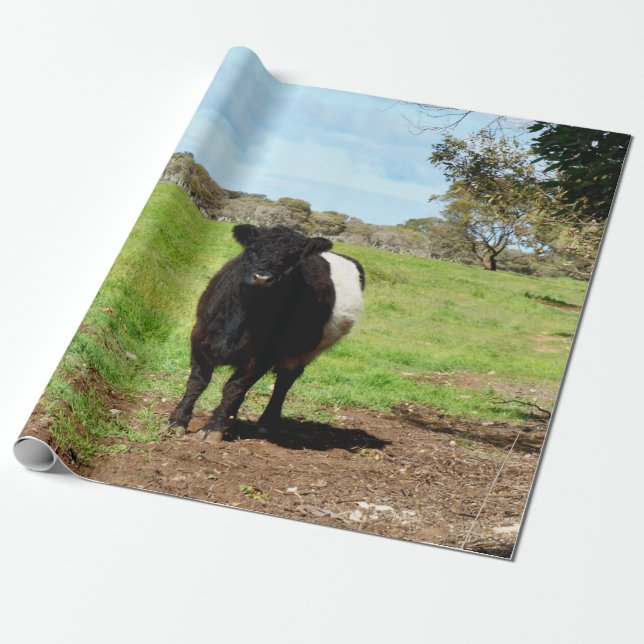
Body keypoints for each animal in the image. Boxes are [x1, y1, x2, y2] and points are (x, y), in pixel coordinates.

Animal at [169, 224, 365, 444]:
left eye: (293, 258)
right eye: (252, 249)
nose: (262, 278)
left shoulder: (262, 357)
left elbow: (233, 389)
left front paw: (213, 428)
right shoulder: (200, 338)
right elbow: (197, 382)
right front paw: (177, 422)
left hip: (304, 352)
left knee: (283, 383)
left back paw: (265, 424)